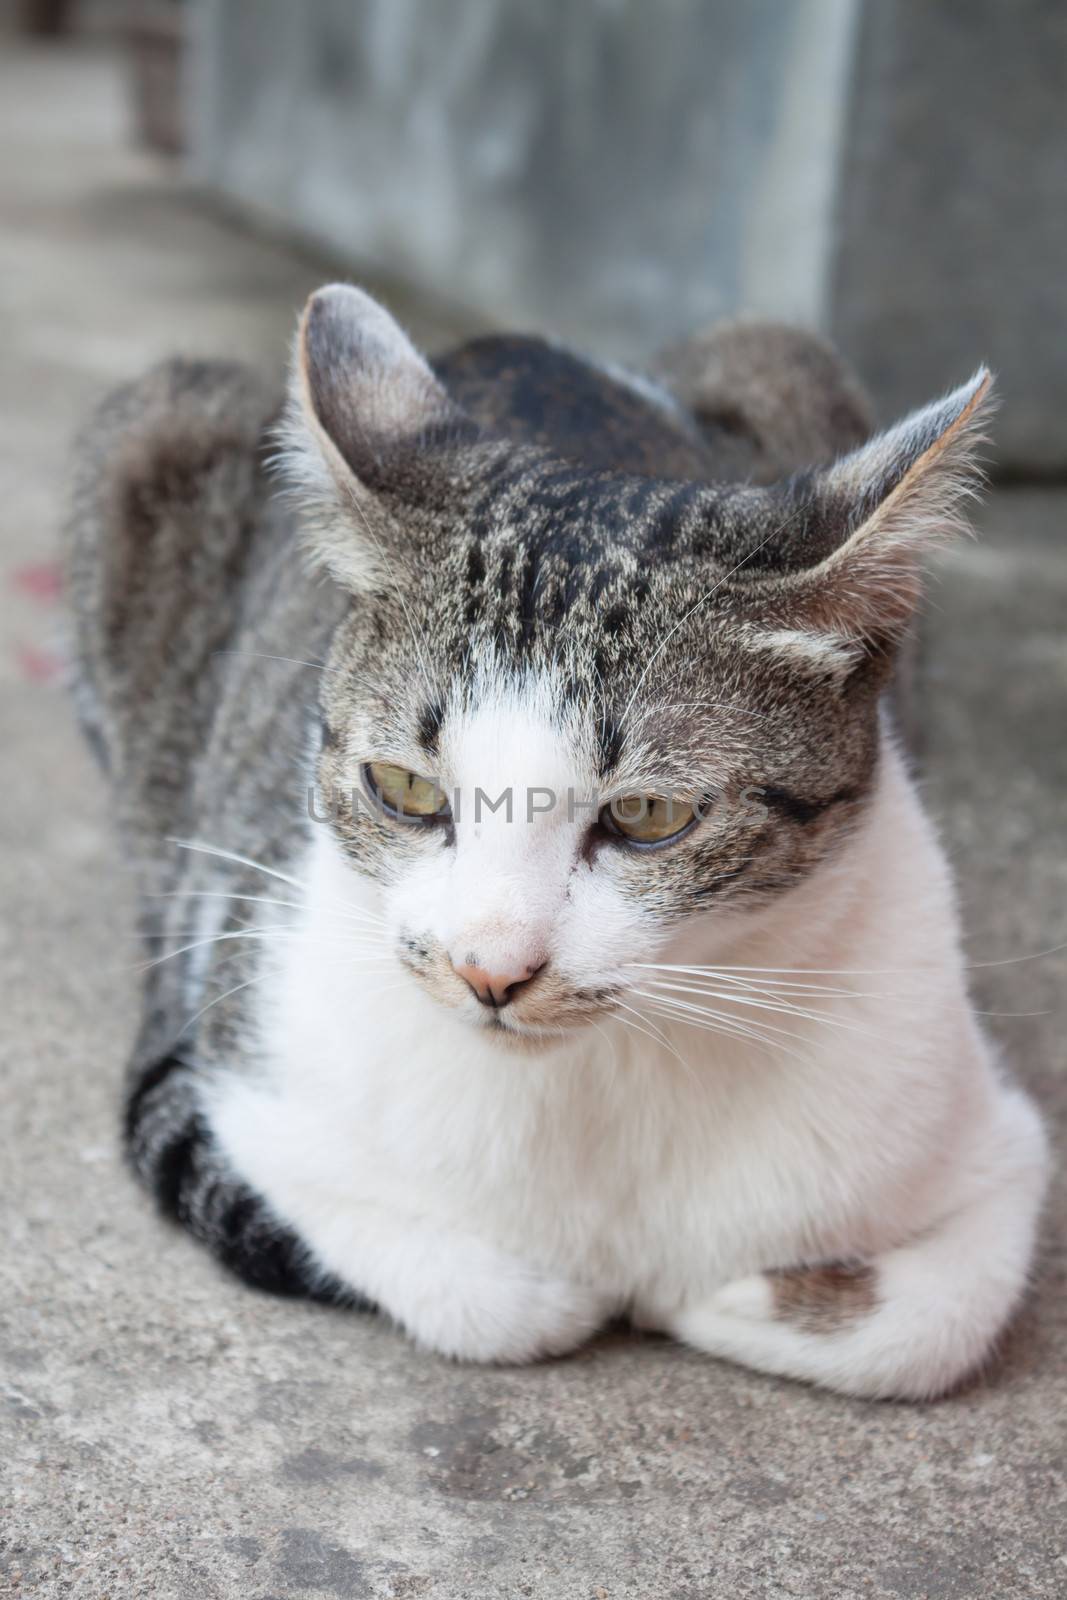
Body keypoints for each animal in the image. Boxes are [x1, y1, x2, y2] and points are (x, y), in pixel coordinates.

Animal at [66, 288, 1049, 1401]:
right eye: (405, 789)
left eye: (647, 815)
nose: (489, 970)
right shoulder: (252, 1077)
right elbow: (494, 1299)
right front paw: (609, 1293)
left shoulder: (989, 1140)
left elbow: (932, 1323)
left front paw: (719, 1299)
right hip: (155, 430)